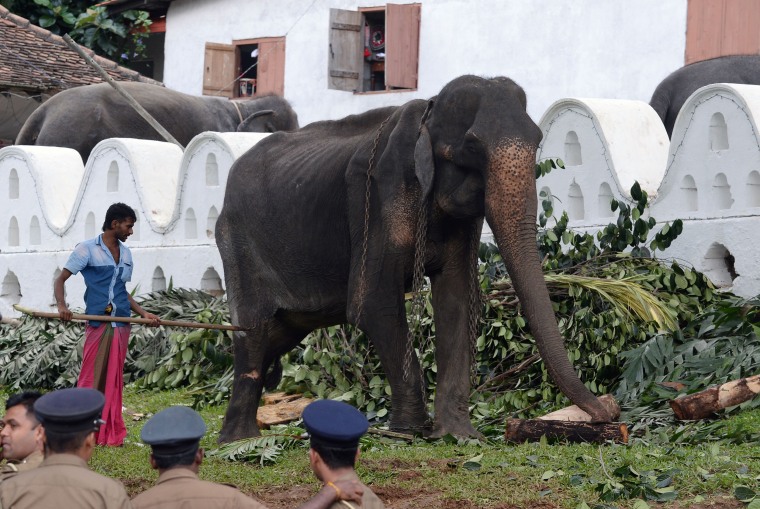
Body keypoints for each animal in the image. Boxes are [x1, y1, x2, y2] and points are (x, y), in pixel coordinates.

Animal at [215, 72, 612, 440]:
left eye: (537, 141)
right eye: (472, 147)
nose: (606, 414)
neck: (428, 112)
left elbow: (457, 302)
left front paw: (457, 435)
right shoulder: (378, 198)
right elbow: (371, 304)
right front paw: (408, 431)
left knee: (280, 331)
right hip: (237, 244)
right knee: (253, 331)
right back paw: (239, 440)